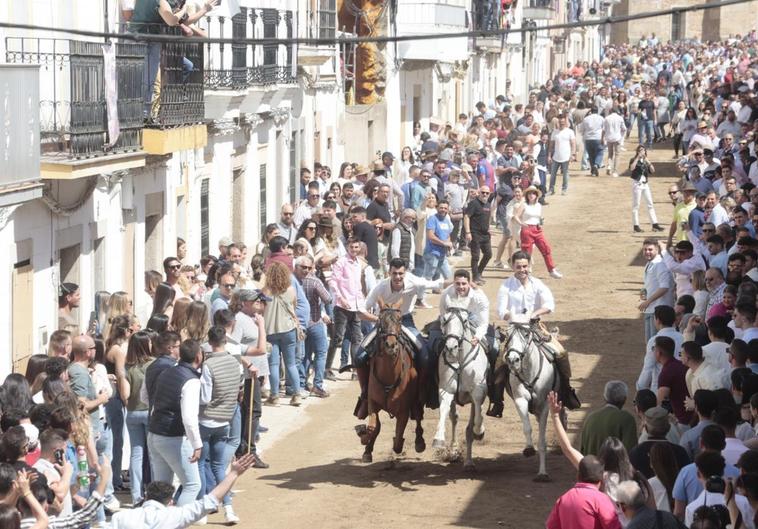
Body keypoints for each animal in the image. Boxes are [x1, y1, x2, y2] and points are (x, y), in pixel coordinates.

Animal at [358, 302, 424, 462]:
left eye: (399, 320)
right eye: (380, 320)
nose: (390, 345)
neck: (389, 376)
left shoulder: (404, 411)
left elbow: (398, 438)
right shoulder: (372, 403)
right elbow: (373, 427)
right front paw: (365, 443)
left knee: (418, 415)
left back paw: (419, 441)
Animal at [434, 308, 492, 468]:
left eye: (465, 320)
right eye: (444, 319)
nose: (451, 347)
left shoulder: (477, 392)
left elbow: (477, 417)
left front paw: (480, 431)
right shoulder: (446, 390)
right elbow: (444, 411)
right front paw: (438, 438)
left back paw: (469, 462)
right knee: (454, 417)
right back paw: (455, 450)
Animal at [498, 320, 564, 480]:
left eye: (526, 334)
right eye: (507, 335)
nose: (513, 360)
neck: (530, 371)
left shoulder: (545, 405)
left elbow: (542, 442)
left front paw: (542, 473)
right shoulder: (520, 400)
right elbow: (527, 427)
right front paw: (528, 449)